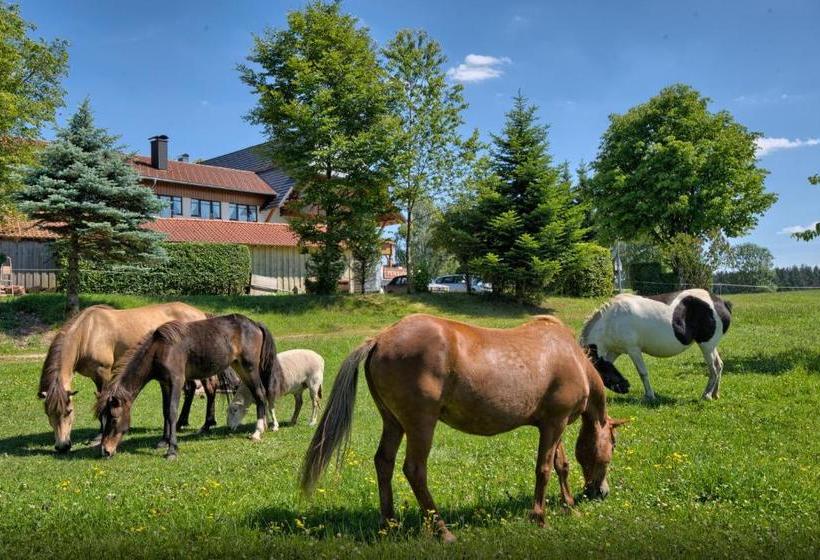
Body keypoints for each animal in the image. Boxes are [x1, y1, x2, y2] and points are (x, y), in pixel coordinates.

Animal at [37, 304, 221, 452]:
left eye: (69, 411)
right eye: (47, 413)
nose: (62, 446)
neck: (88, 332)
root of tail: (200, 313)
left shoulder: (103, 373)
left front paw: (98, 436)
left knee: (210, 388)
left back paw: (207, 425)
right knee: (190, 389)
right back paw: (183, 421)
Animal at [94, 312, 282, 458]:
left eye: (114, 418)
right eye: (102, 418)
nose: (105, 451)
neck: (160, 349)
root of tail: (255, 324)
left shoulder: (176, 381)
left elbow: (172, 412)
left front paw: (172, 450)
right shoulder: (164, 384)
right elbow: (165, 411)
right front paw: (164, 441)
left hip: (249, 368)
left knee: (260, 393)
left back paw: (257, 431)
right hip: (239, 367)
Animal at [302, 312, 628, 540]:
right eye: (613, 445)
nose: (601, 492)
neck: (571, 357)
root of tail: (380, 339)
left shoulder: (551, 424)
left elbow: (561, 465)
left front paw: (569, 505)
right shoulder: (554, 423)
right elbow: (544, 469)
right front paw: (540, 517)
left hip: (393, 422)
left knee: (384, 462)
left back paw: (389, 523)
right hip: (421, 423)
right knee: (414, 470)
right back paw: (442, 530)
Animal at [580, 288, 732, 402]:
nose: (626, 386)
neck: (611, 320)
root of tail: (721, 302)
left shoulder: (633, 350)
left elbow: (643, 373)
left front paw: (649, 396)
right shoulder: (614, 351)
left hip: (706, 346)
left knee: (713, 368)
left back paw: (707, 395)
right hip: (710, 346)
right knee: (719, 365)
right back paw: (715, 394)